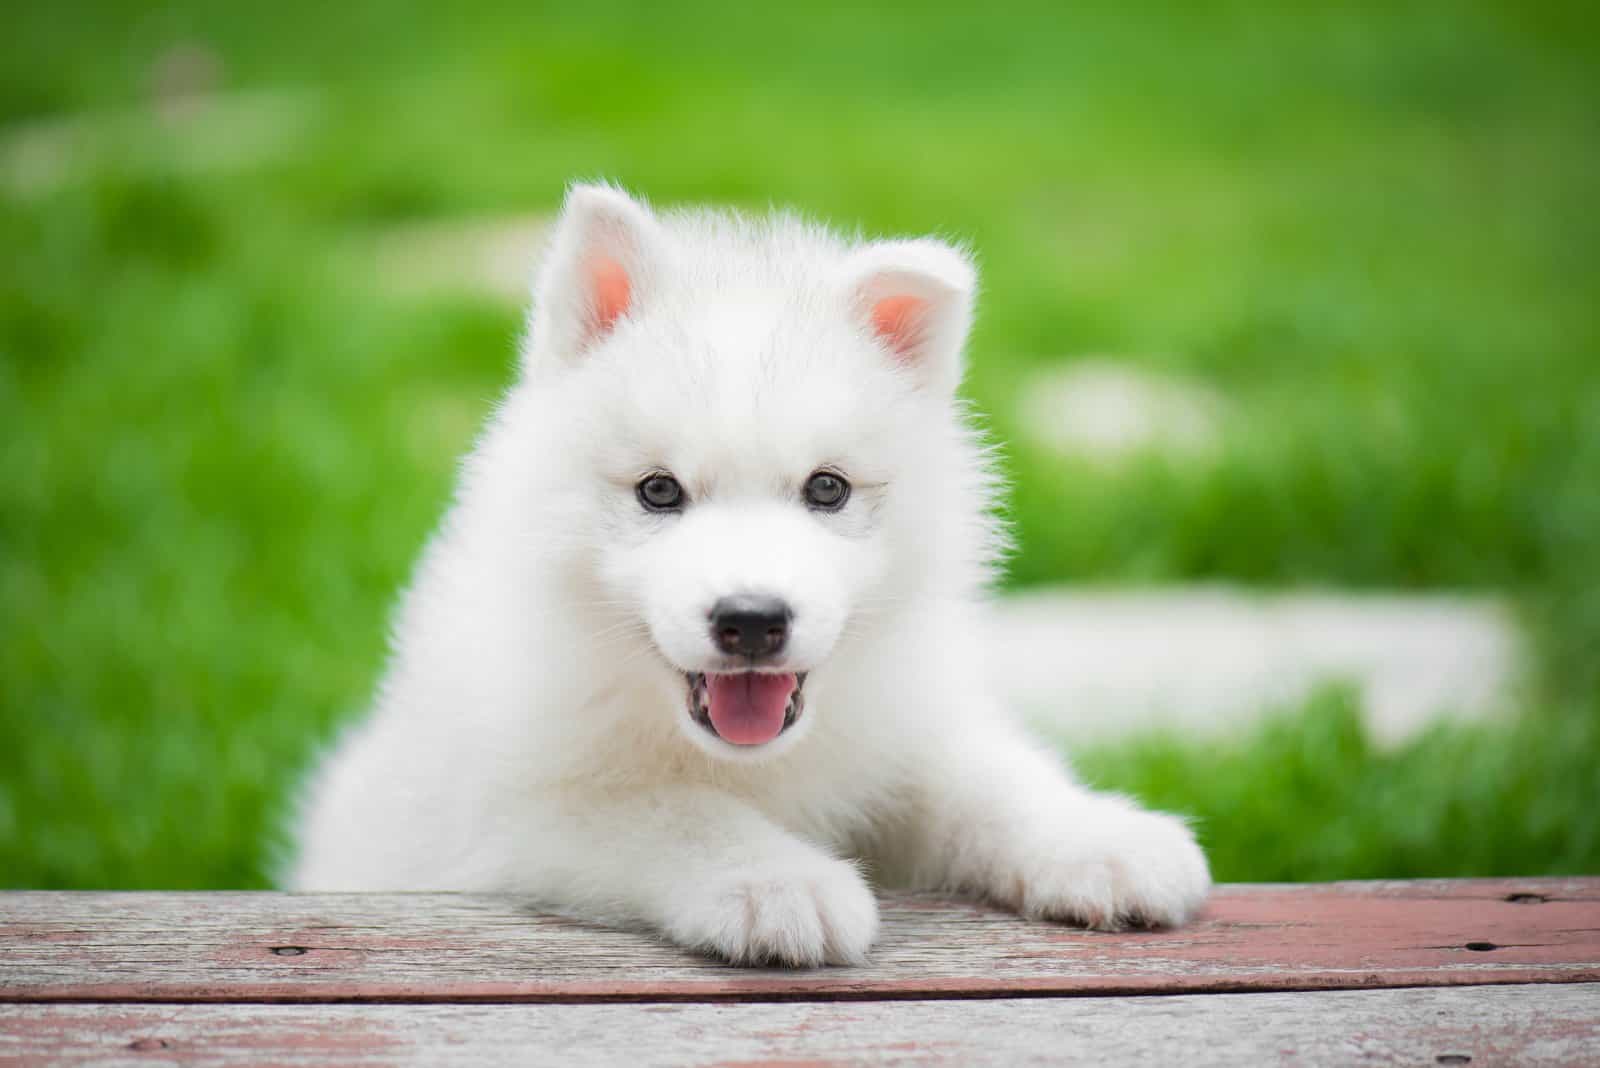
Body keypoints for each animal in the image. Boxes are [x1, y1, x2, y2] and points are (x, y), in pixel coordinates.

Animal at [291, 185, 1209, 965]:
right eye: (659, 490)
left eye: (827, 488)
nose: (753, 620)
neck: (753, 764)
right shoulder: (519, 812)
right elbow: (674, 811)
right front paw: (778, 882)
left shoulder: (899, 725)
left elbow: (983, 776)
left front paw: (1101, 840)